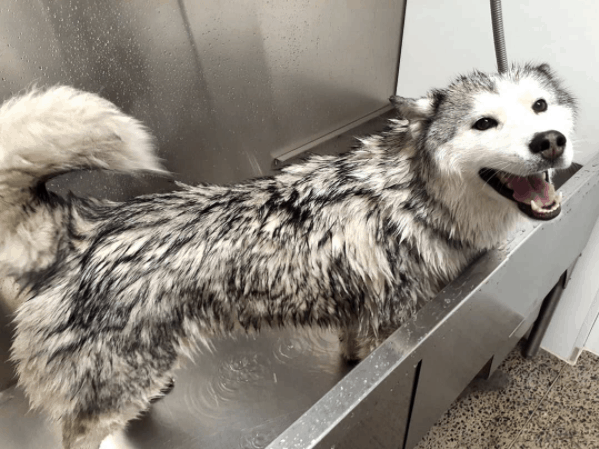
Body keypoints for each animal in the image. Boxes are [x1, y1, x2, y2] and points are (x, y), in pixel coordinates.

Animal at [2, 64, 580, 448]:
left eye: (540, 106)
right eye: (484, 123)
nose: (550, 141)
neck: (414, 197)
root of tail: (82, 229)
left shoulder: (359, 317)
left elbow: (353, 353)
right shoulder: (389, 320)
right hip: (110, 392)